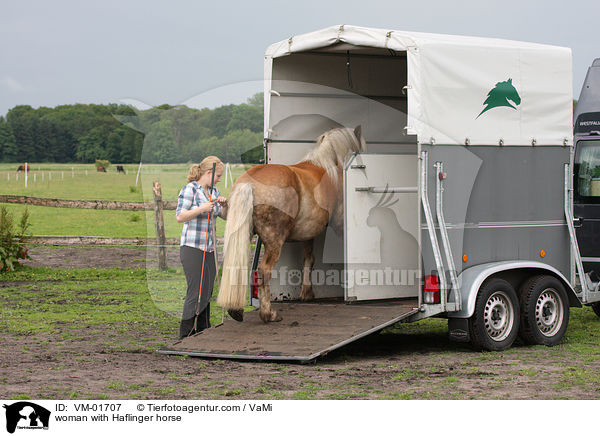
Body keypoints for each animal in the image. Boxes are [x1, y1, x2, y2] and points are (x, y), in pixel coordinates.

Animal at [217, 124, 366, 322]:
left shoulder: (309, 232)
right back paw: (269, 314)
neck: (330, 166)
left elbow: (309, 258)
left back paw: (236, 311)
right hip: (274, 242)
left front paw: (307, 293)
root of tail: (249, 183)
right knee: (264, 270)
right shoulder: (340, 224)